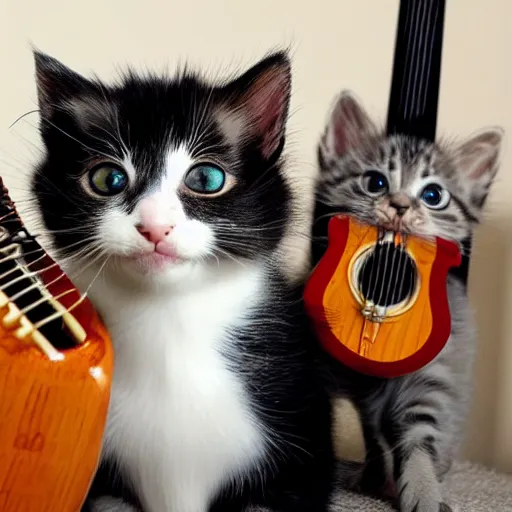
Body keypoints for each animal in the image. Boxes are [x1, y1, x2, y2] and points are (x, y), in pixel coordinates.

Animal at [314, 91, 502, 512]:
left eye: (433, 195)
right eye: (375, 182)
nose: (400, 204)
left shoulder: (429, 381)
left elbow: (419, 440)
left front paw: (424, 491)